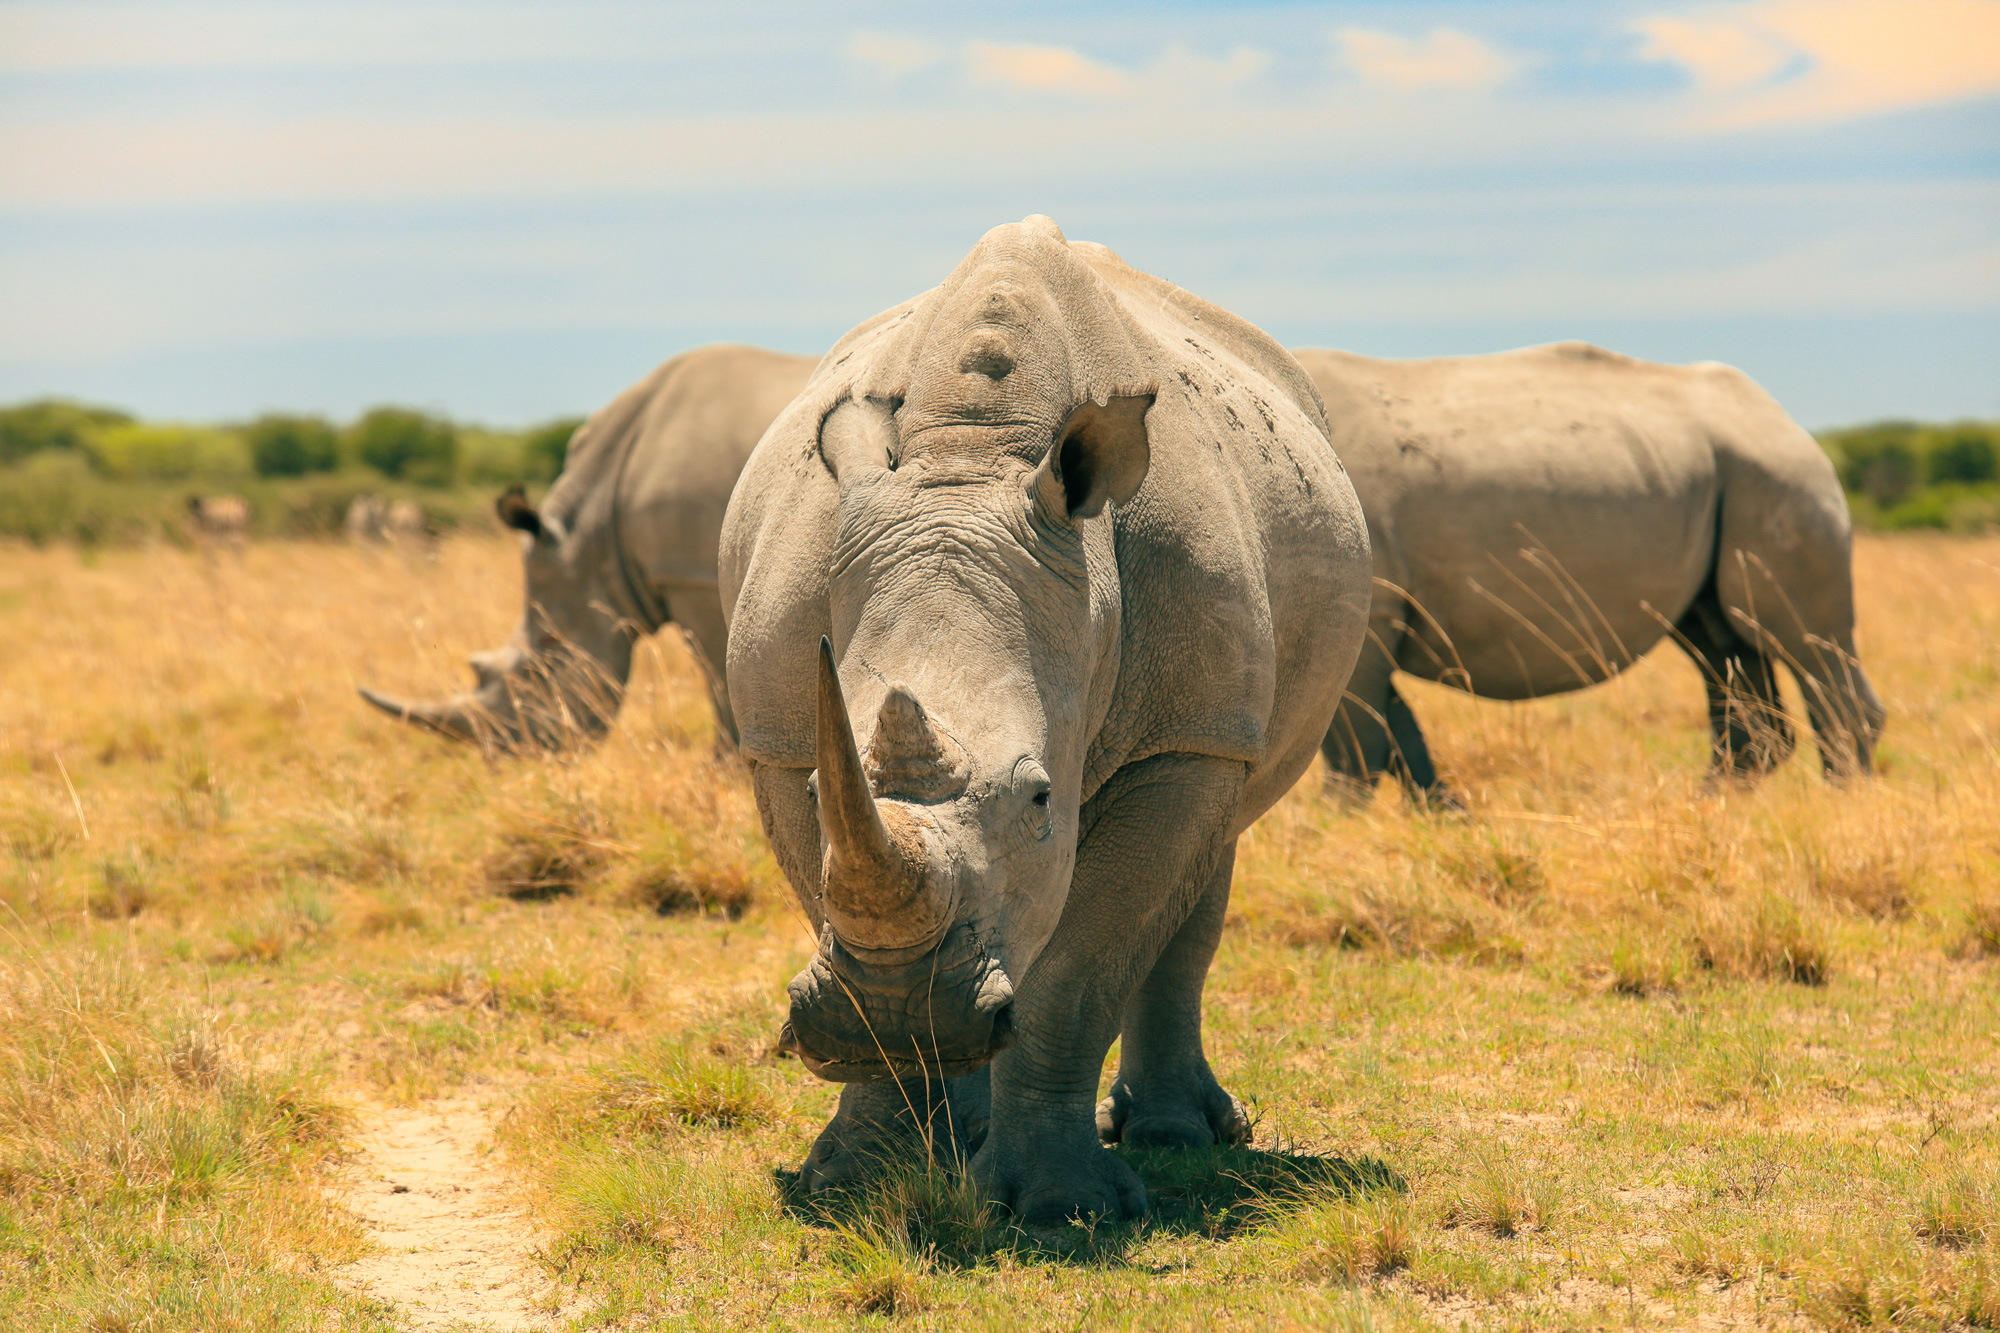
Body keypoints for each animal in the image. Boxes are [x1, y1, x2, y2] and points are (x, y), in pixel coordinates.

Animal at [360, 344, 814, 750]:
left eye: (544, 658)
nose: (513, 753)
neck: (596, 537)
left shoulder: (690, 576)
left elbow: (717, 672)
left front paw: (725, 765)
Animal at [719, 217, 1371, 1222]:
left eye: (1039, 798)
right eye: (831, 788)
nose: (906, 1008)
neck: (969, 459)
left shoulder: (1181, 737)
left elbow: (1080, 971)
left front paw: (1064, 1206)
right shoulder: (783, 741)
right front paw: (862, 1171)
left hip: (1221, 718)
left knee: (1206, 859)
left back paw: (1176, 1136)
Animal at [1293, 343, 1886, 805]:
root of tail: (1784, 419)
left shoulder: (1370, 607)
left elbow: (1355, 743)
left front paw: (1326, 831)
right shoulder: (1373, 614)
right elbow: (1394, 732)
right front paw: (1443, 817)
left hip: (1780, 473)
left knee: (1800, 642)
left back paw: (1837, 808)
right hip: (1726, 472)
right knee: (1719, 642)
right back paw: (1705, 808)